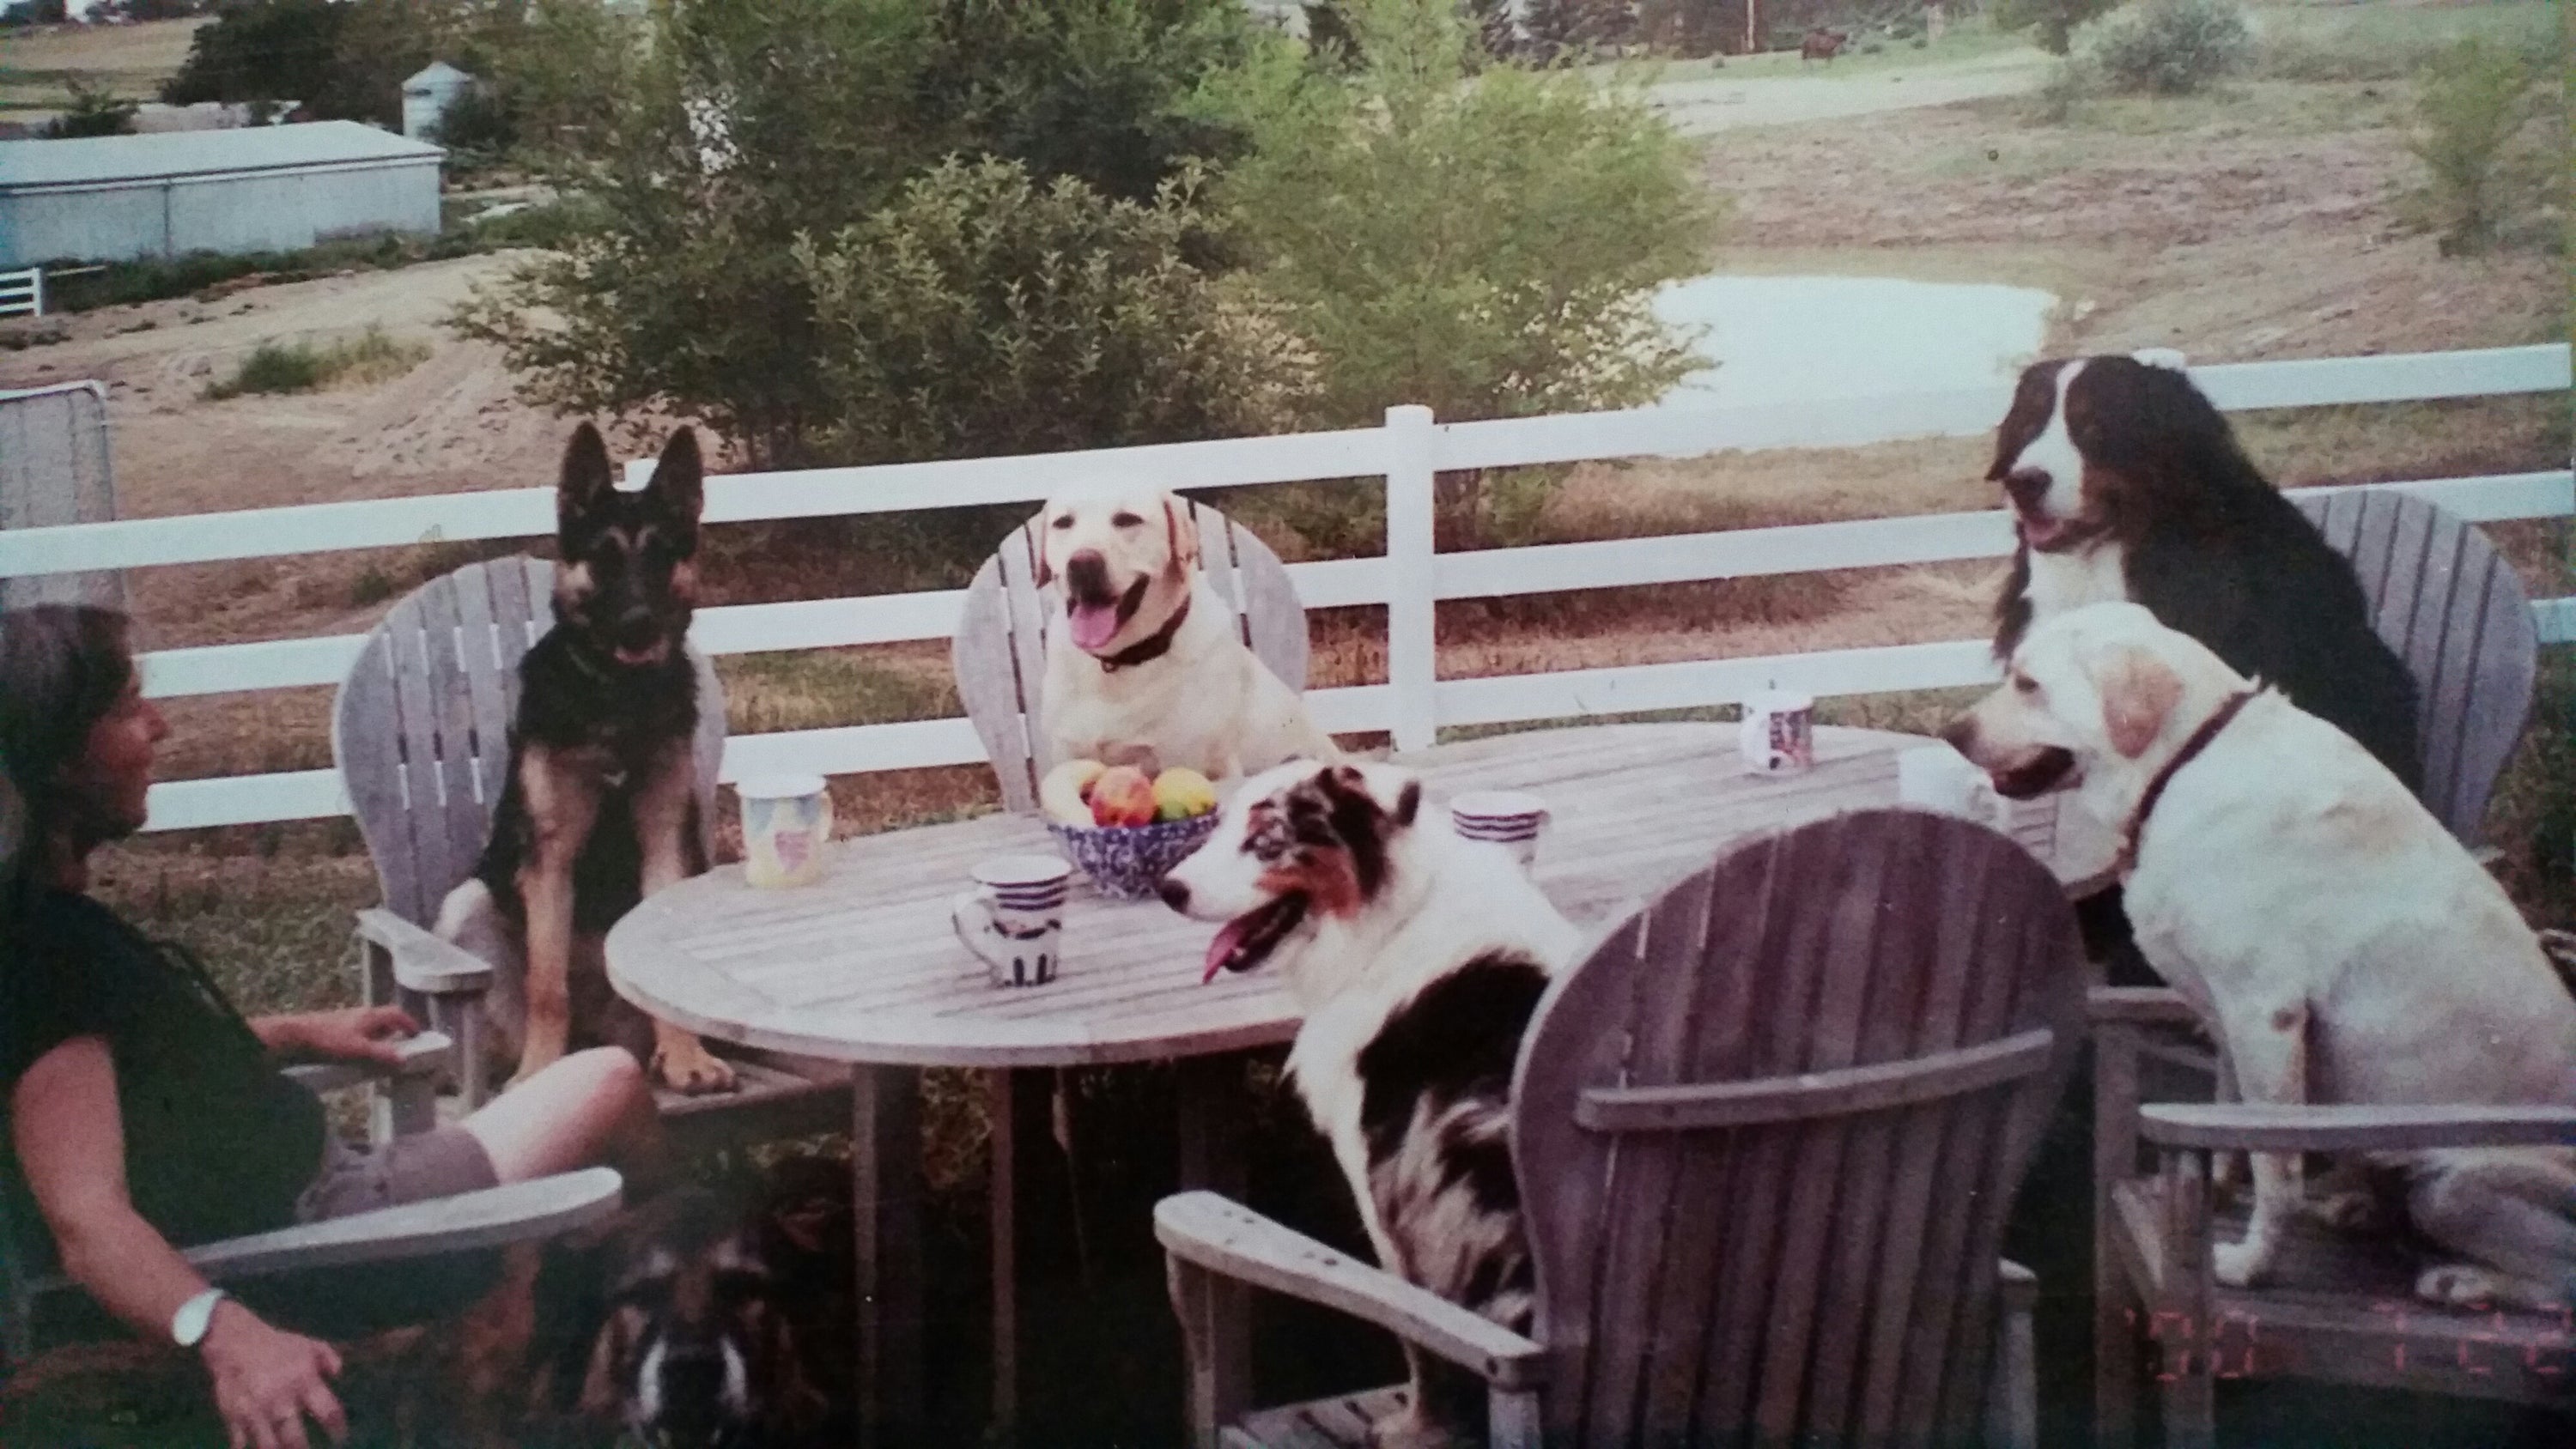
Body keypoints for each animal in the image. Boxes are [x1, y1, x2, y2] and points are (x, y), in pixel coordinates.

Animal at [433, 424, 737, 1096]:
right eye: (604, 556)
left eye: (660, 555)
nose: (638, 625)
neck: (618, 699)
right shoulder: (551, 858)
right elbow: (548, 984)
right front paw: (540, 1070)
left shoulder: (663, 840)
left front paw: (686, 1058)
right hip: (468, 902)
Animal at [1030, 486, 1340, 782]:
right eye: (1063, 523)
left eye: (1128, 520)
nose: (1081, 563)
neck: (1117, 662)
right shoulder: (1069, 754)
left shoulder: (1195, 763)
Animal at [1159, 767, 1577, 1441]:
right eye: (1220, 826)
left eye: (1268, 841)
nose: (1168, 889)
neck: (1394, 925)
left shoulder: (1389, 1196)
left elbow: (1420, 1344)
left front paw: (1416, 1430)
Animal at [1947, 602, 2576, 1318]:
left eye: (2028, 684)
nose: (1951, 732)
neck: (2180, 764)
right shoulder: (2224, 1014)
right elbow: (2230, 1116)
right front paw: (2215, 1190)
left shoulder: (2265, 1015)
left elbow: (2275, 1167)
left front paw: (2250, 1264)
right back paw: (2360, 1207)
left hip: (2457, 1187)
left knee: (2560, 1281)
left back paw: (2465, 1280)